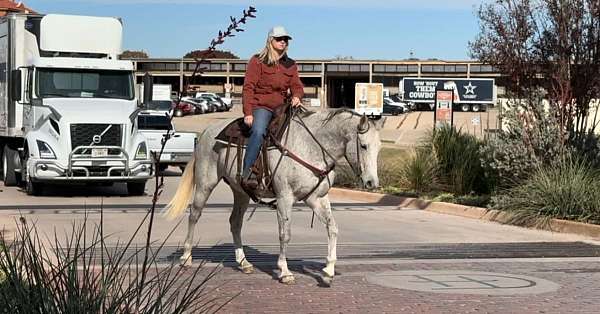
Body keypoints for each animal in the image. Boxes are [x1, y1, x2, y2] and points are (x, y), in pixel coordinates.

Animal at [163, 110, 384, 284]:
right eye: (363, 146)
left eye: (379, 147)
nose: (372, 183)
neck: (310, 146)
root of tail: (207, 131)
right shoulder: (285, 197)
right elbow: (285, 234)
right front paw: (285, 272)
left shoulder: (316, 197)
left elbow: (332, 228)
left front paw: (328, 270)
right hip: (205, 183)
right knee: (194, 215)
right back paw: (186, 257)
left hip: (240, 191)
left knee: (235, 222)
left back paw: (243, 262)